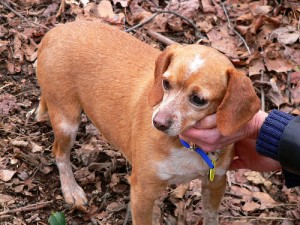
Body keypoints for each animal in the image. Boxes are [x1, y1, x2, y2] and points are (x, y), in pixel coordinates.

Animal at [35, 20, 260, 224]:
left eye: (198, 99)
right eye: (165, 83)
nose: (158, 123)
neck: (188, 146)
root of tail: (55, 31)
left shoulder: (215, 183)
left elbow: (211, 217)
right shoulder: (142, 191)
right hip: (67, 122)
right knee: (59, 153)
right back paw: (71, 190)